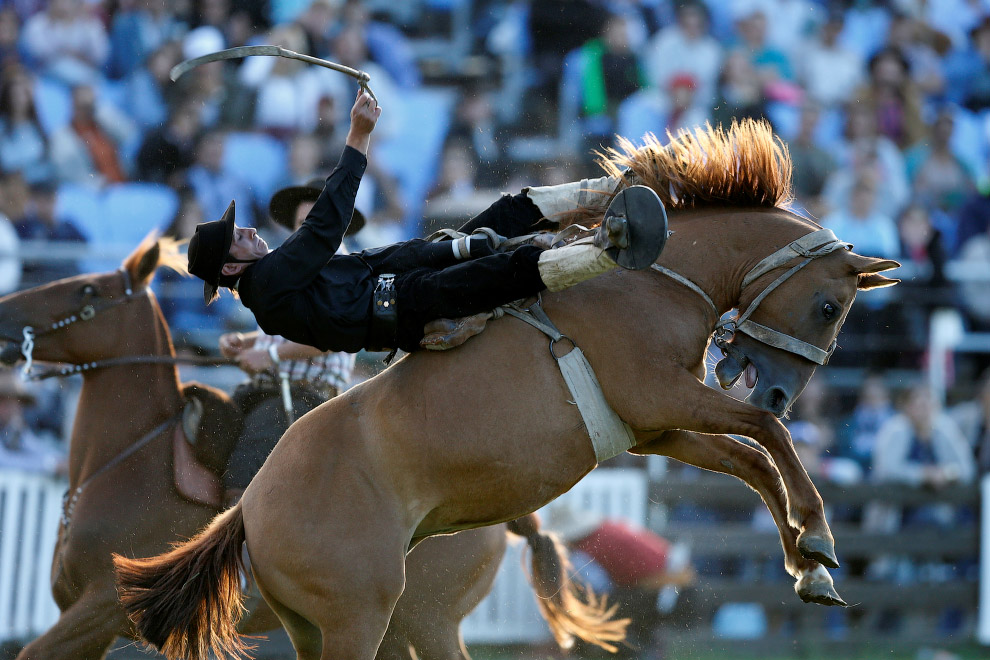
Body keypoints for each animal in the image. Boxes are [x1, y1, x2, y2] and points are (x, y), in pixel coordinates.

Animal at [0, 242, 612, 660]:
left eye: (87, 292)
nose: (6, 318)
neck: (127, 459)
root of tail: (510, 525)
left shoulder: (100, 609)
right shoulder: (85, 621)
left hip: (428, 621)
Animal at [114, 120, 900, 660]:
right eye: (829, 307)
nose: (778, 390)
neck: (649, 283)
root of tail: (248, 509)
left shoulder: (655, 428)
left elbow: (751, 458)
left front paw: (810, 568)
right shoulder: (663, 397)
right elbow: (768, 441)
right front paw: (819, 537)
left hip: (314, 626)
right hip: (360, 618)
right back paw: (615, 227)